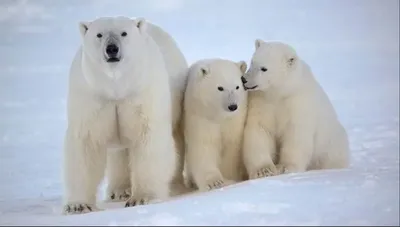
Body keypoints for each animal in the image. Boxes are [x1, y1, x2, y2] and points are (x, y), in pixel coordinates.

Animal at [184, 58, 247, 192]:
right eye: (220, 88)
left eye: (237, 86)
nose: (232, 106)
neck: (219, 115)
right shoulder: (200, 115)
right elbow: (204, 144)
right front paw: (214, 182)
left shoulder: (234, 120)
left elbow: (232, 145)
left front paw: (229, 177)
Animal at [241, 39, 350, 179]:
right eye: (252, 62)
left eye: (264, 68)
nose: (244, 79)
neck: (280, 93)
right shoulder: (262, 102)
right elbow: (260, 130)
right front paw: (264, 170)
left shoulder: (298, 103)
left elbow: (295, 135)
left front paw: (285, 168)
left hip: (332, 144)